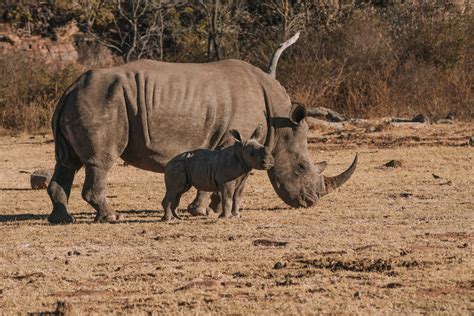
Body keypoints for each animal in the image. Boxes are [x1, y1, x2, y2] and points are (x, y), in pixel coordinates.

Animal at [47, 33, 356, 223]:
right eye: (301, 167)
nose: (311, 201)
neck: (279, 122)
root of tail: (70, 88)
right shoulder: (232, 142)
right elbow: (220, 175)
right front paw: (204, 211)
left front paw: (214, 209)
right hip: (102, 102)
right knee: (100, 161)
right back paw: (111, 216)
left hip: (83, 100)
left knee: (66, 162)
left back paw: (62, 219)